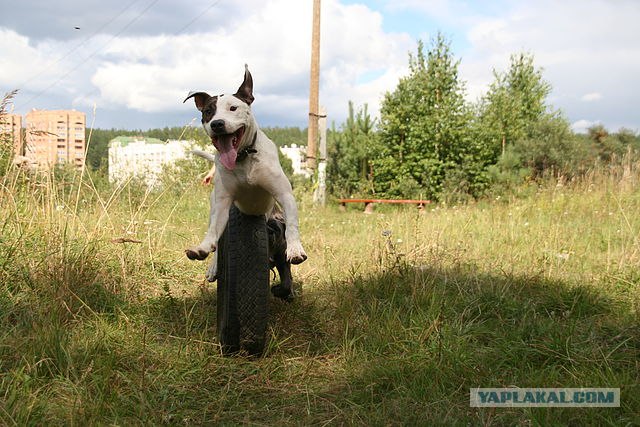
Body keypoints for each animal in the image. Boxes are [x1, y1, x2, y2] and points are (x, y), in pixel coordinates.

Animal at [182, 64, 308, 288]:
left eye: (233, 108)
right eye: (208, 112)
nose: (217, 124)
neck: (243, 158)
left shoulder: (284, 194)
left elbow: (291, 224)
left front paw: (294, 249)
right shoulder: (222, 205)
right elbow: (213, 232)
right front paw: (203, 248)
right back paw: (212, 266)